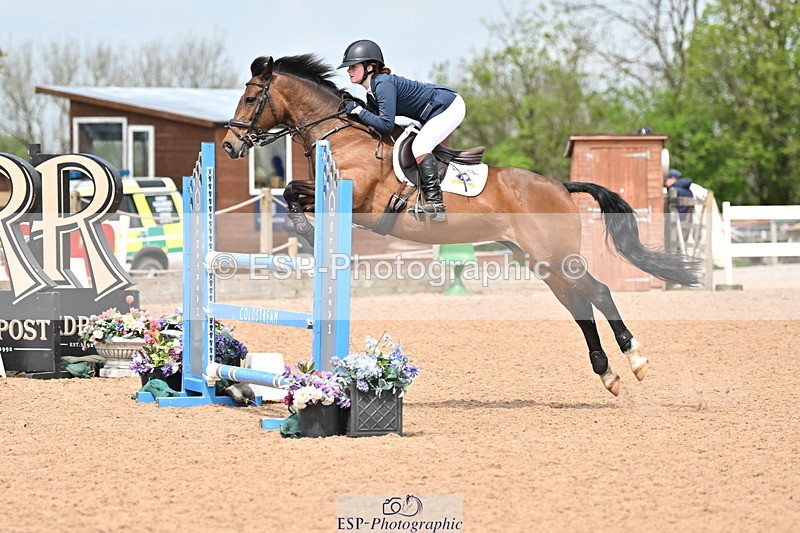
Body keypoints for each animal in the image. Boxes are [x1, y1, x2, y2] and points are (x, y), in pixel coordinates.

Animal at [222, 54, 700, 397]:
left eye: (250, 99)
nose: (228, 145)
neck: (341, 134)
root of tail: (560, 186)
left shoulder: (357, 200)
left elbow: (294, 191)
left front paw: (305, 232)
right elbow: (291, 191)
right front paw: (304, 232)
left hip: (557, 257)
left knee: (597, 292)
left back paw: (635, 360)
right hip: (542, 263)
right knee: (578, 306)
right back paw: (607, 374)